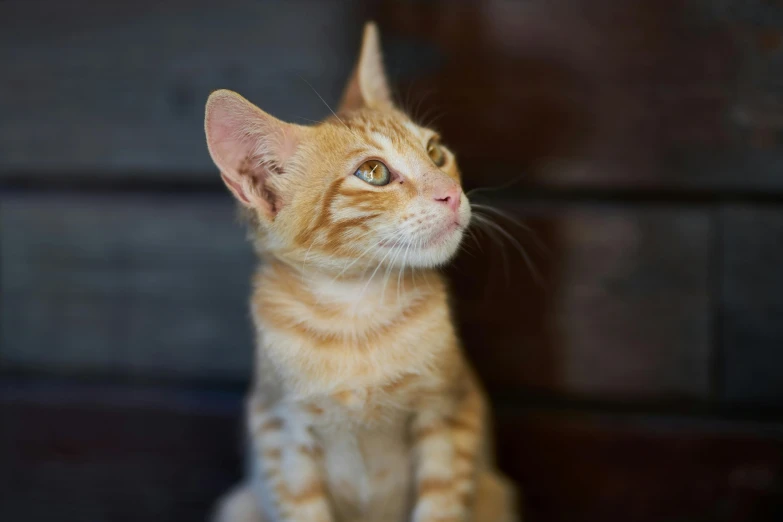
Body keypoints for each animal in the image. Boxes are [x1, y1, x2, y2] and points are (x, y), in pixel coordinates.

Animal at [205, 22, 520, 520]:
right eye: (373, 172)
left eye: (435, 151)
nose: (452, 193)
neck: (356, 310)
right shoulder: (280, 435)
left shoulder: (451, 414)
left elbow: (441, 506)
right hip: (239, 502)